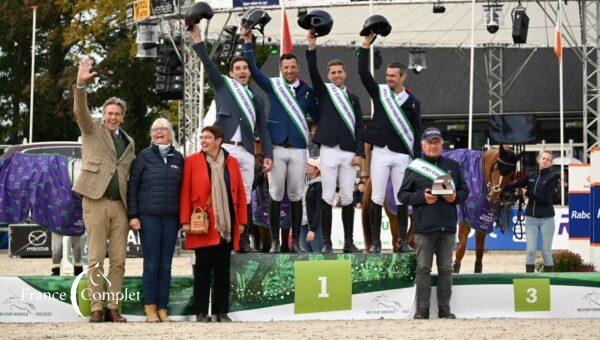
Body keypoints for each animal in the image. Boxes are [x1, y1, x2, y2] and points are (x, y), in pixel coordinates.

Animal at [360, 146, 520, 274]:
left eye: (511, 174)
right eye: (497, 168)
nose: (494, 197)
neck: (478, 172)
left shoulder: (480, 218)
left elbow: (479, 251)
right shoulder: (466, 218)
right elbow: (461, 247)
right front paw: (455, 268)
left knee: (411, 240)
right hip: (394, 217)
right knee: (396, 243)